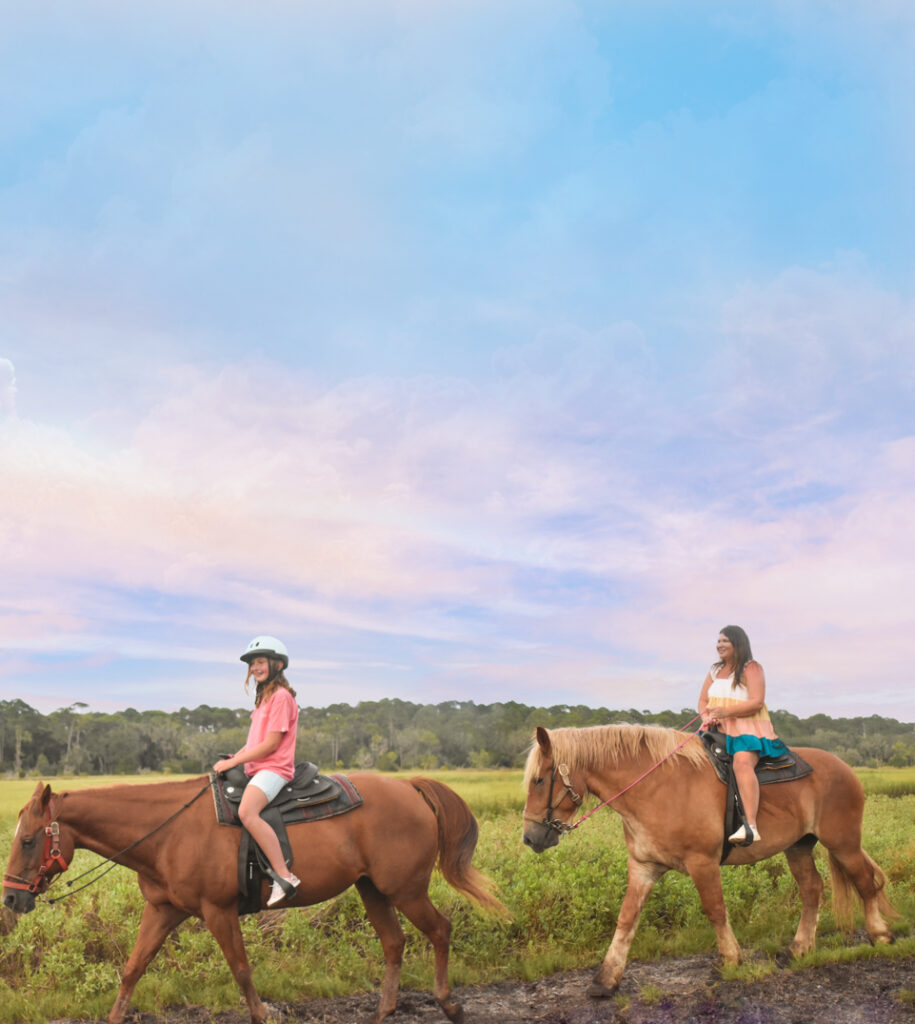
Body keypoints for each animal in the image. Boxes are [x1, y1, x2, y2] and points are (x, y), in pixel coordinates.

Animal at [3, 774, 505, 1024]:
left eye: (28, 840)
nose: (10, 899)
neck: (166, 832)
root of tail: (410, 786)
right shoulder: (163, 910)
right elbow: (132, 969)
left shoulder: (218, 912)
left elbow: (242, 971)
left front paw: (262, 1015)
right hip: (373, 889)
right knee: (394, 943)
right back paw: (384, 1012)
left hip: (406, 889)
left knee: (439, 930)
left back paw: (449, 1005)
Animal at [524, 724, 900, 995]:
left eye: (539, 780)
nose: (530, 838)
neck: (656, 788)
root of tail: (845, 768)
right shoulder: (643, 868)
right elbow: (626, 919)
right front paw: (606, 978)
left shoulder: (701, 863)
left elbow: (716, 910)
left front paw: (731, 959)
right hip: (799, 847)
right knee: (812, 889)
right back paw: (799, 947)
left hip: (843, 843)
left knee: (866, 883)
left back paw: (880, 935)